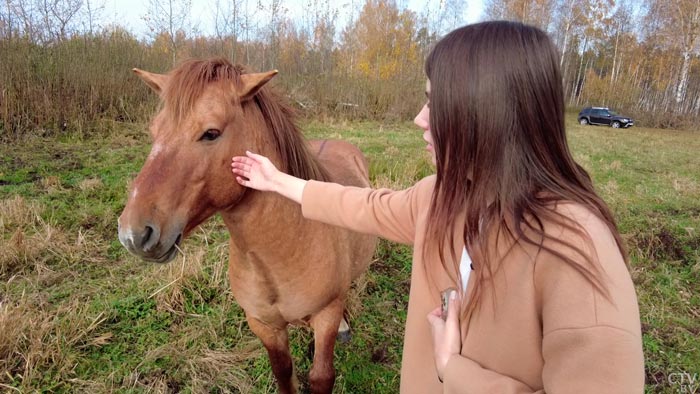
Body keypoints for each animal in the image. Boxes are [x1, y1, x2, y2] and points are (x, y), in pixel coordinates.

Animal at [117, 57, 374, 392]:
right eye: (154, 130)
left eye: (211, 133)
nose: (133, 234)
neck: (286, 248)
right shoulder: (263, 324)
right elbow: (283, 371)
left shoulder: (325, 315)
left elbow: (321, 376)